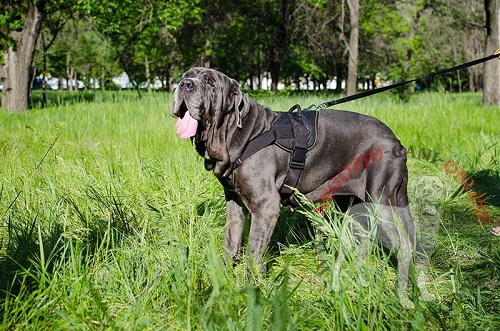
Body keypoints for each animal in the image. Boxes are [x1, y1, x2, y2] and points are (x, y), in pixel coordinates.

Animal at [170, 67, 432, 308]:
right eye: (187, 75)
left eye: (210, 83)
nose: (184, 84)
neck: (237, 133)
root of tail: (396, 141)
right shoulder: (234, 202)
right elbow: (231, 243)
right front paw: (221, 280)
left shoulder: (265, 206)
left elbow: (254, 252)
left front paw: (250, 291)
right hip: (356, 204)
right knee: (365, 240)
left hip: (382, 200)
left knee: (404, 245)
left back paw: (402, 295)